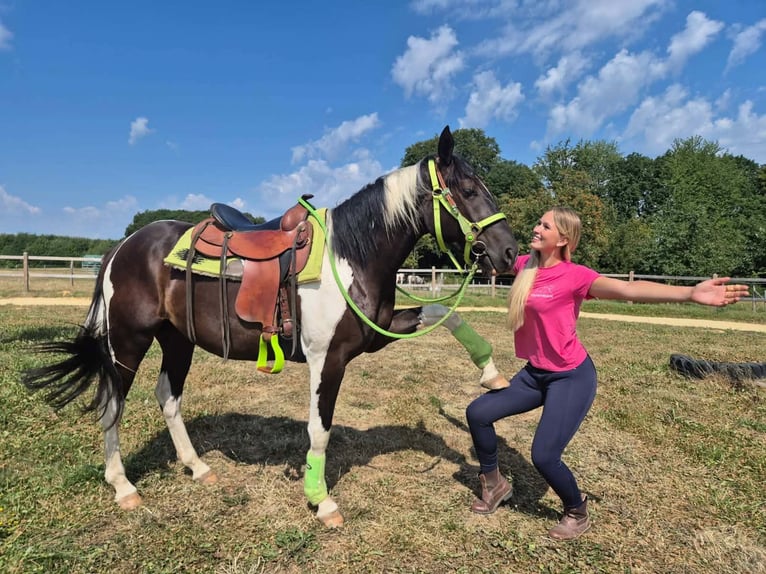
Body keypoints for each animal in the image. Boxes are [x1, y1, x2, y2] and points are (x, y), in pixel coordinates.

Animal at [22, 126, 518, 527]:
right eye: (468, 189)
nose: (510, 252)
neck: (351, 256)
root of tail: (123, 246)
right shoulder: (327, 359)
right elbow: (320, 429)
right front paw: (321, 501)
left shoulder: (376, 333)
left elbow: (448, 315)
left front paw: (491, 373)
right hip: (128, 341)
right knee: (113, 400)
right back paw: (123, 486)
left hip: (177, 340)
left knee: (167, 397)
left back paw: (197, 467)